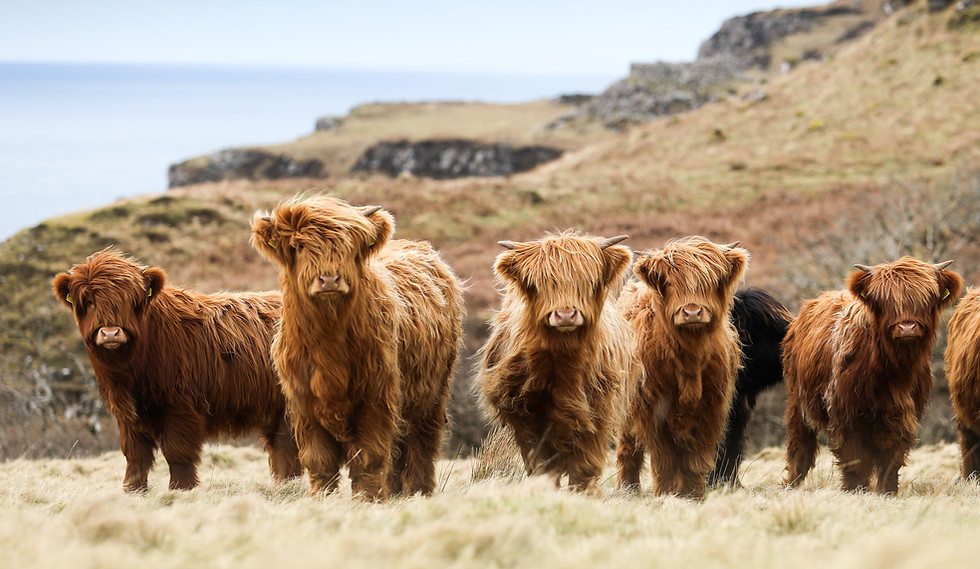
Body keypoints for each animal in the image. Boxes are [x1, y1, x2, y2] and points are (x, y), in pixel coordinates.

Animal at [52, 249, 302, 493]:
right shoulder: (126, 412)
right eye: (89, 301)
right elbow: (135, 454)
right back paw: (286, 483)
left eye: (131, 301)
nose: (111, 332)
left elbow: (177, 452)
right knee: (283, 445)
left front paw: (181, 488)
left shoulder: (180, 407)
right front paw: (133, 489)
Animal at [250, 195, 464, 499]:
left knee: (421, 444)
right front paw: (322, 498)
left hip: (431, 396)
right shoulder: (303, 404)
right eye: (299, 246)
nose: (329, 279)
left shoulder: (376, 398)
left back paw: (418, 491)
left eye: (350, 246)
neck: (329, 345)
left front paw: (367, 499)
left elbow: (369, 456)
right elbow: (319, 459)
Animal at [475, 231, 635, 494]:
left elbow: (584, 464)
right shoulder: (525, 413)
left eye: (587, 281)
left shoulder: (598, 410)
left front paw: (583, 494)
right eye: (540, 282)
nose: (566, 315)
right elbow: (540, 462)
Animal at [616, 236, 748, 499]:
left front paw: (693, 495)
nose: (692, 311)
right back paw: (627, 489)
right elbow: (665, 460)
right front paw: (666, 495)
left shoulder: (710, 410)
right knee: (628, 448)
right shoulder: (653, 411)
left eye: (710, 281)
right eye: (668, 281)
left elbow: (694, 460)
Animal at [783, 257, 962, 494]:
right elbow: (855, 460)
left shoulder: (902, 415)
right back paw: (791, 484)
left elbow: (891, 462)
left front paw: (888, 492)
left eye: (926, 298)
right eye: (886, 300)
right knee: (800, 443)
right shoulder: (847, 414)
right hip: (797, 399)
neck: (894, 371)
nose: (907, 327)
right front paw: (855, 491)